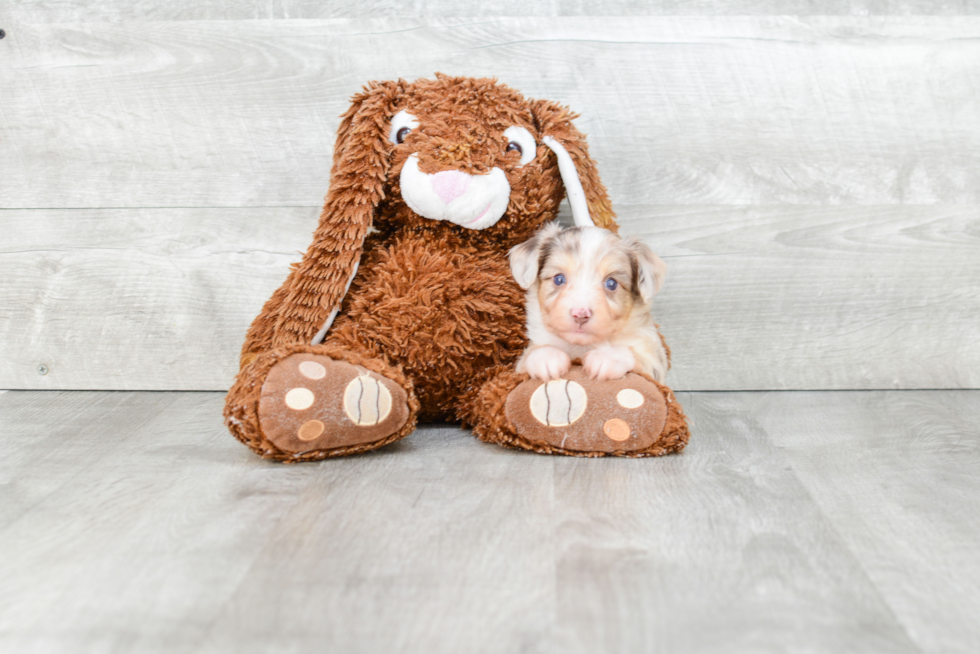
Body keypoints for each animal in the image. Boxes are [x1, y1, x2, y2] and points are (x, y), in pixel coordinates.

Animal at [510, 223, 668, 382]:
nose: (580, 314)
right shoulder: (519, 367)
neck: (582, 346)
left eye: (611, 283)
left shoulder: (654, 360)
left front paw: (609, 356)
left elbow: (636, 355)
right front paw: (546, 356)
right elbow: (530, 354)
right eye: (559, 279)